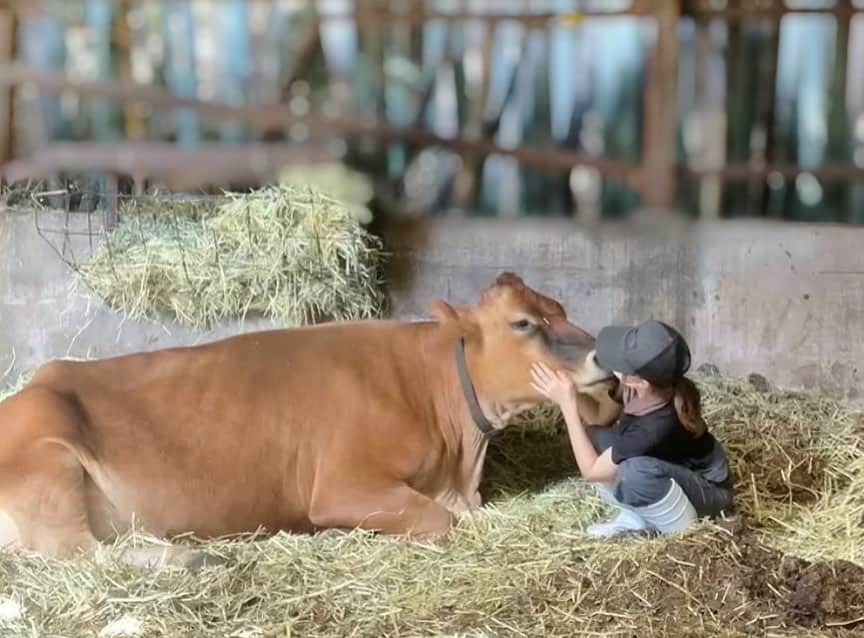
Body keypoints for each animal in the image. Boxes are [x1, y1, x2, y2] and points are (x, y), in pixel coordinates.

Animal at [0, 272, 620, 568]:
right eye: (522, 323)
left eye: (561, 310)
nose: (606, 360)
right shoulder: (342, 486)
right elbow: (438, 521)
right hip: (50, 466)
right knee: (82, 554)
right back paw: (188, 557)